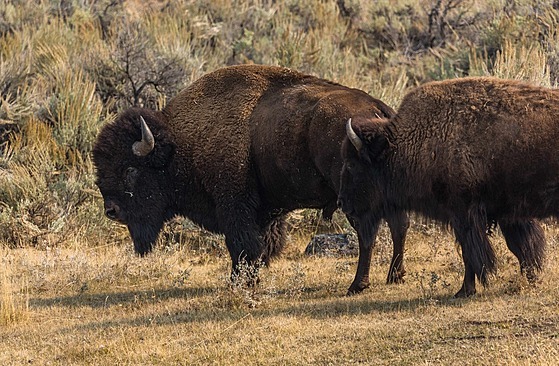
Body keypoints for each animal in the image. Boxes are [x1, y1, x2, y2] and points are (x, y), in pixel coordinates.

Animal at [92, 64, 410, 290]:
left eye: (130, 169)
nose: (111, 211)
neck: (180, 143)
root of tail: (377, 108)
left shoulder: (234, 205)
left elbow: (242, 245)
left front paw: (239, 282)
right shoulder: (265, 211)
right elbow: (260, 245)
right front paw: (249, 277)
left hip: (355, 196)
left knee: (368, 233)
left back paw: (358, 285)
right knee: (399, 226)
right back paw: (395, 276)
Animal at [336, 77, 548, 298]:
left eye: (351, 164)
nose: (341, 202)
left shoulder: (465, 215)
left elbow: (472, 253)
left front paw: (464, 291)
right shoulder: (502, 214)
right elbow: (519, 244)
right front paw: (531, 278)